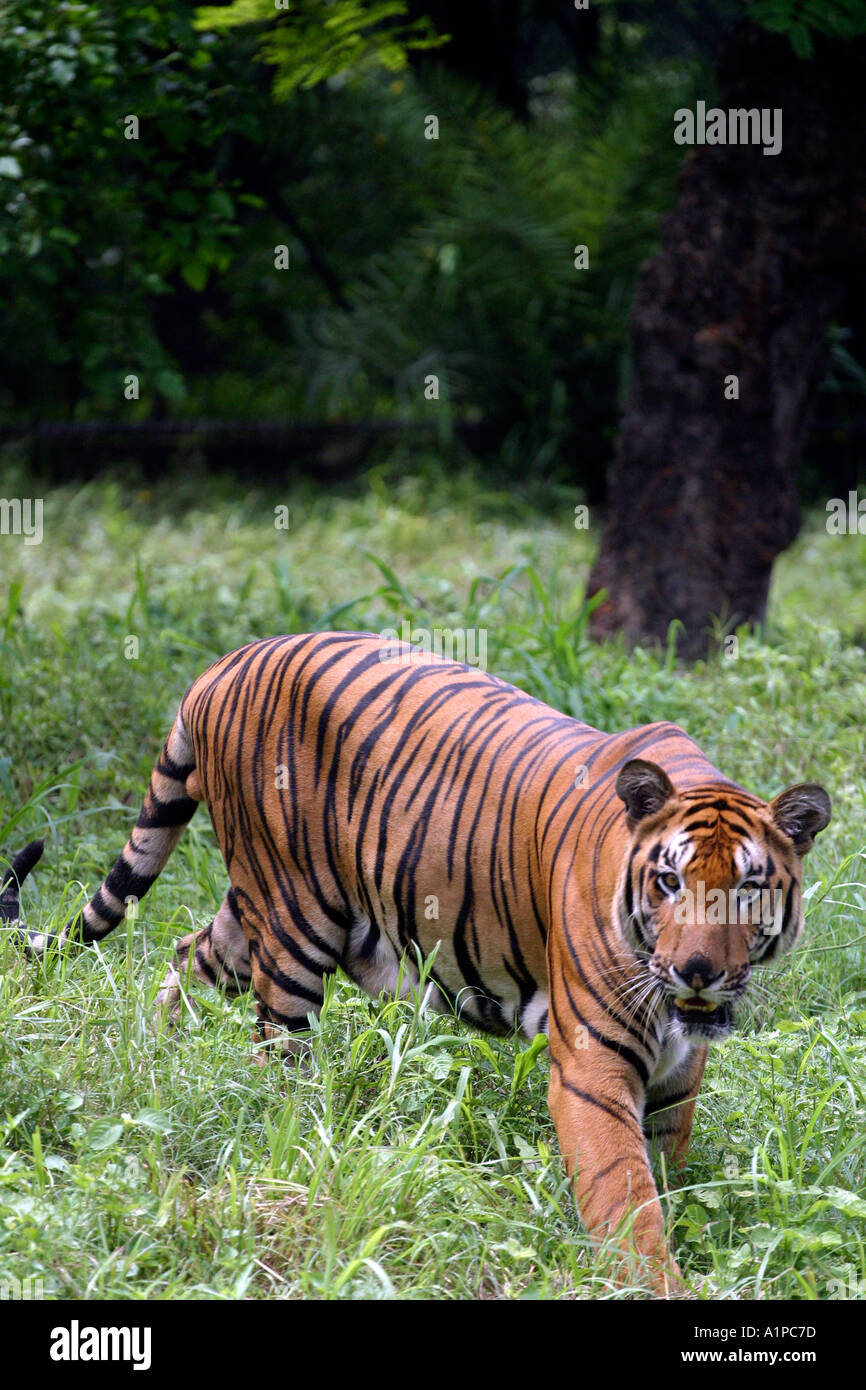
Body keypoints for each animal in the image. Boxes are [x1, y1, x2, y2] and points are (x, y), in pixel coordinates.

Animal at [6, 631, 834, 1289]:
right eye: (668, 882)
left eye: (748, 888)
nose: (696, 972)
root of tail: (225, 664)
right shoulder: (594, 1066)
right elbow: (625, 1196)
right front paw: (653, 1283)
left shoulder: (678, 1068)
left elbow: (665, 1170)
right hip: (295, 920)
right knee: (276, 1051)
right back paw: (290, 1149)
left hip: (251, 913)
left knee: (186, 956)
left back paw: (158, 1060)